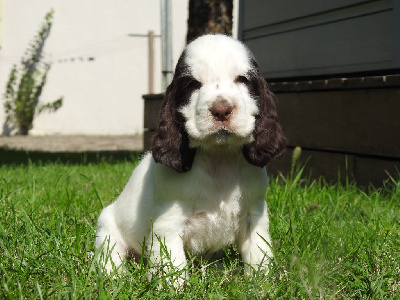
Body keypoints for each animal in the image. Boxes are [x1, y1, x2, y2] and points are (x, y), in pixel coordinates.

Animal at [95, 34, 286, 280]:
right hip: (107, 228)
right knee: (109, 256)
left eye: (243, 80)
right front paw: (174, 285)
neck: (218, 157)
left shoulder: (254, 213)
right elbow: (173, 266)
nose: (221, 109)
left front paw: (263, 281)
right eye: (193, 84)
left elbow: (259, 253)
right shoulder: (168, 222)